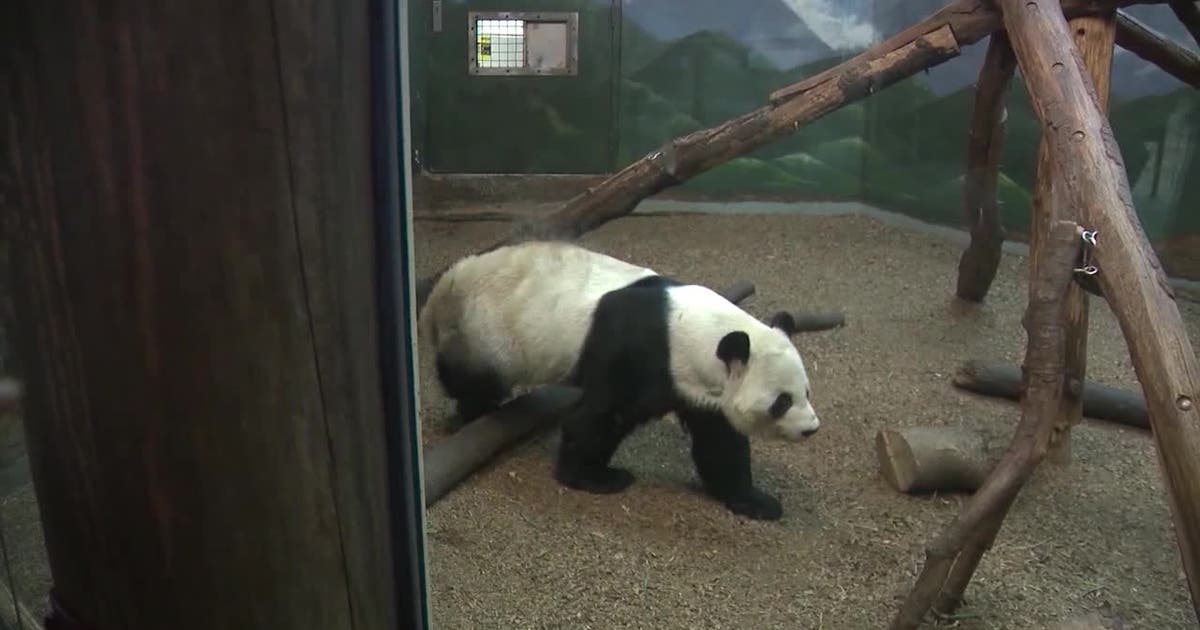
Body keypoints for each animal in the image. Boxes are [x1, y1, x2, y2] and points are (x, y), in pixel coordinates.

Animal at [419, 240, 821, 520]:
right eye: (782, 401)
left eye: (806, 391)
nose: (811, 429)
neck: (691, 329)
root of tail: (442, 286)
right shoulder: (639, 350)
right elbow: (600, 416)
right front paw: (595, 477)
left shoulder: (697, 383)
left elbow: (719, 441)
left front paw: (755, 501)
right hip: (483, 331)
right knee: (472, 378)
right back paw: (475, 410)